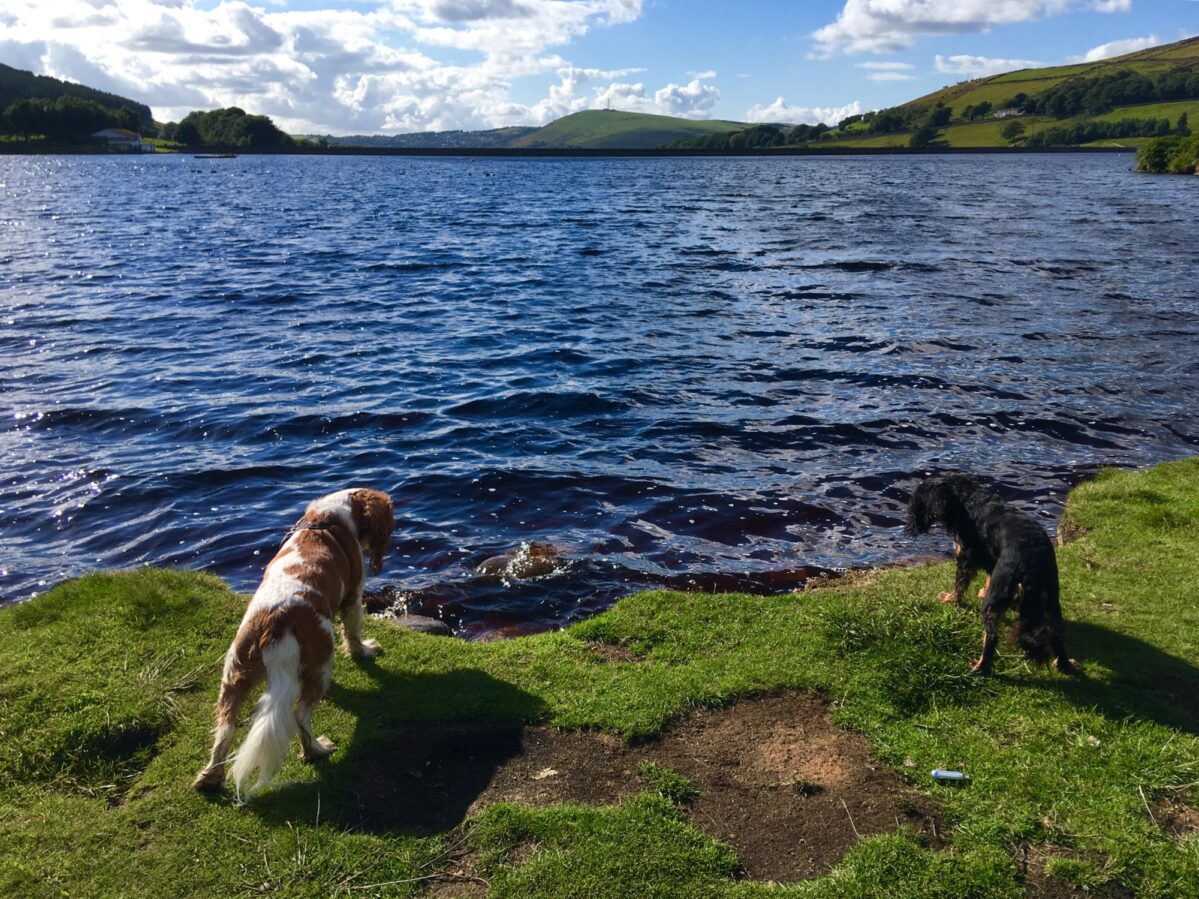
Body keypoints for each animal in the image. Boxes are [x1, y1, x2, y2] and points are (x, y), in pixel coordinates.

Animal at [193, 489, 393, 800]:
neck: (327, 519)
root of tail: (277, 621)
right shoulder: (354, 595)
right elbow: (353, 632)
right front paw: (364, 651)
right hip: (322, 661)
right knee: (300, 715)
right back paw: (317, 750)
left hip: (235, 672)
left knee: (225, 729)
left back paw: (210, 778)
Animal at [906, 479, 1079, 676]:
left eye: (917, 502)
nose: (910, 521)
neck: (968, 501)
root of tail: (1030, 562)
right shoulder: (991, 559)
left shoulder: (966, 556)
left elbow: (959, 584)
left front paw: (950, 599)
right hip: (1051, 598)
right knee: (1056, 634)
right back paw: (1065, 664)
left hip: (995, 598)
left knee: (991, 637)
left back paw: (980, 667)